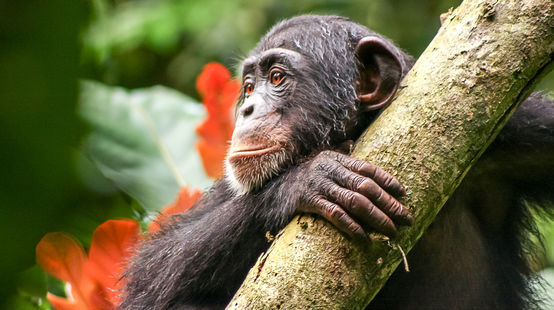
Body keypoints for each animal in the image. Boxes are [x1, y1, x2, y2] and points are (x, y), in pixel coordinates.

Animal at [122, 15, 552, 310]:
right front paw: (306, 180)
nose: (246, 108)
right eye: (248, 86)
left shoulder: (520, 130)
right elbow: (148, 278)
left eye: (276, 77)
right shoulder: (230, 186)